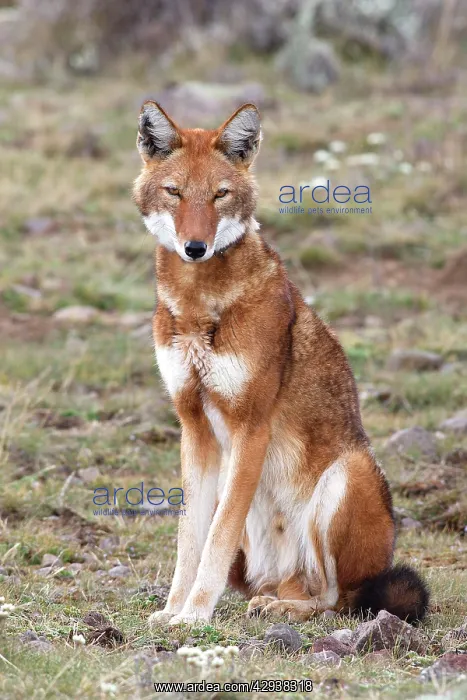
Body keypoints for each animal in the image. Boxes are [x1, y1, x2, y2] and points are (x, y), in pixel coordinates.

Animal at [133, 101, 429, 627]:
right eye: (175, 192)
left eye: (220, 194)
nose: (195, 248)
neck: (197, 305)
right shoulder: (194, 427)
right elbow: (190, 540)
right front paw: (172, 612)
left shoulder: (250, 427)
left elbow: (215, 538)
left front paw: (194, 616)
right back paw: (270, 601)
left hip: (346, 476)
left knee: (335, 600)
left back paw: (285, 609)